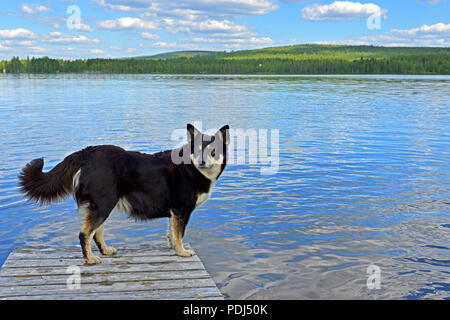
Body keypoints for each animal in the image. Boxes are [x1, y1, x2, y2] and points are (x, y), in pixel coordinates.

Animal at [18, 124, 229, 264]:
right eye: (198, 150)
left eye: (213, 151)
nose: (202, 162)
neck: (191, 168)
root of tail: (87, 152)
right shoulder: (182, 210)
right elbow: (179, 234)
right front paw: (183, 252)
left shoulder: (174, 212)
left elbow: (172, 232)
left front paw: (174, 248)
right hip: (104, 204)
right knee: (85, 233)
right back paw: (90, 259)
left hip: (102, 205)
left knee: (96, 232)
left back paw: (105, 251)